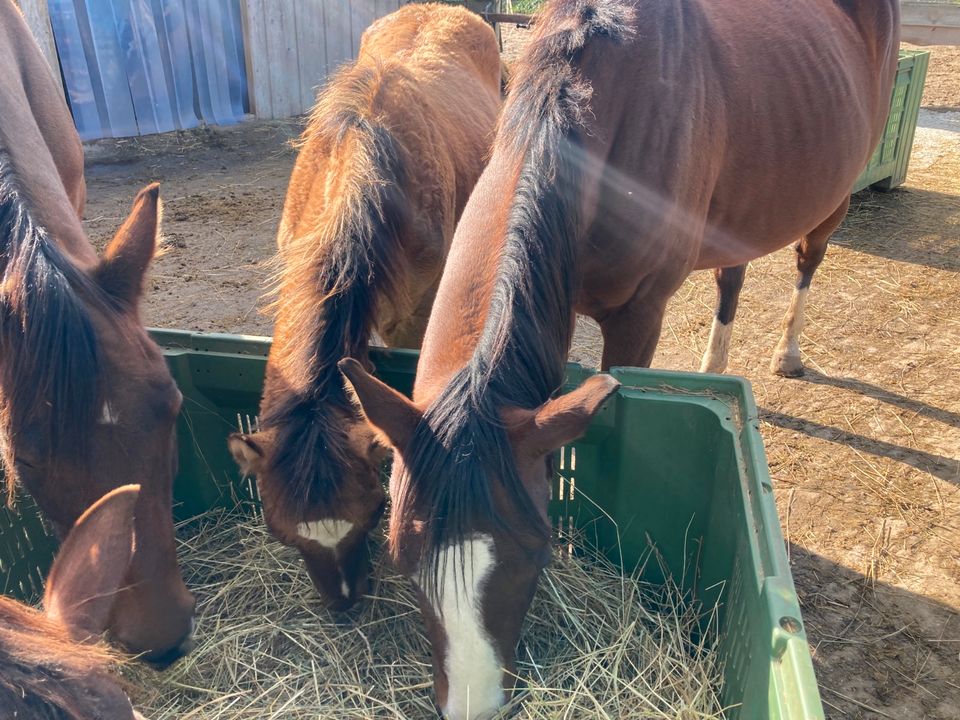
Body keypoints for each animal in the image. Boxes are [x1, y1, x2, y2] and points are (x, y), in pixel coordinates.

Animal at [340, 2, 900, 716]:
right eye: (402, 559)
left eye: (533, 557)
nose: (475, 703)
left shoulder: (638, 318)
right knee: (733, 274)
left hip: (833, 201)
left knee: (808, 260)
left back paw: (789, 351)